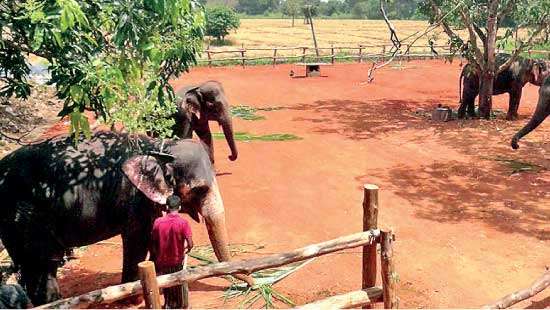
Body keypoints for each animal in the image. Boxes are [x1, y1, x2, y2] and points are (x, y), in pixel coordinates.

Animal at [0, 131, 253, 306]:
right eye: (200, 190)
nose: (252, 283)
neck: (159, 148)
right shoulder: (133, 196)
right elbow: (137, 239)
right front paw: (133, 299)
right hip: (23, 215)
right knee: (40, 262)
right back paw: (51, 302)